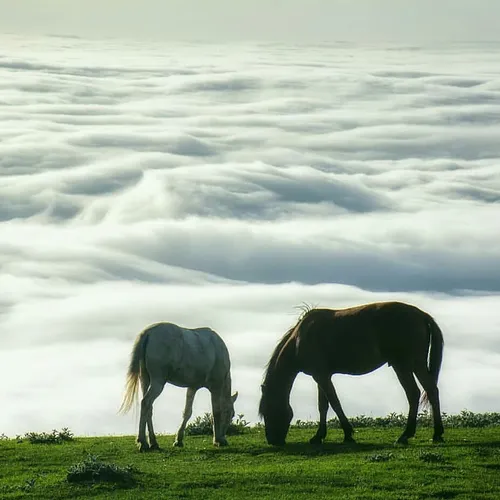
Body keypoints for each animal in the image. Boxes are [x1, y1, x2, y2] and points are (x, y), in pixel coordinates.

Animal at [120, 322, 239, 452]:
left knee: (148, 408)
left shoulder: (192, 387)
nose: (224, 438)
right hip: (158, 382)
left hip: (145, 380)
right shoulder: (216, 387)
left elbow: (187, 412)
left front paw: (179, 440)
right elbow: (216, 412)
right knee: (146, 403)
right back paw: (143, 442)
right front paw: (217, 440)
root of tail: (148, 332)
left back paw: (153, 442)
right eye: (231, 413)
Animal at [260, 300, 444, 446]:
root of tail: (421, 315)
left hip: (403, 365)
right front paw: (318, 436)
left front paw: (348, 434)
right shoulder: (321, 376)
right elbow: (323, 406)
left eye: (268, 411)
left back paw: (405, 435)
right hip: (416, 365)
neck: (300, 339)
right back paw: (437, 434)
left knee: (414, 393)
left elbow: (334, 403)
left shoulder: (321, 376)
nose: (272, 441)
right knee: (431, 390)